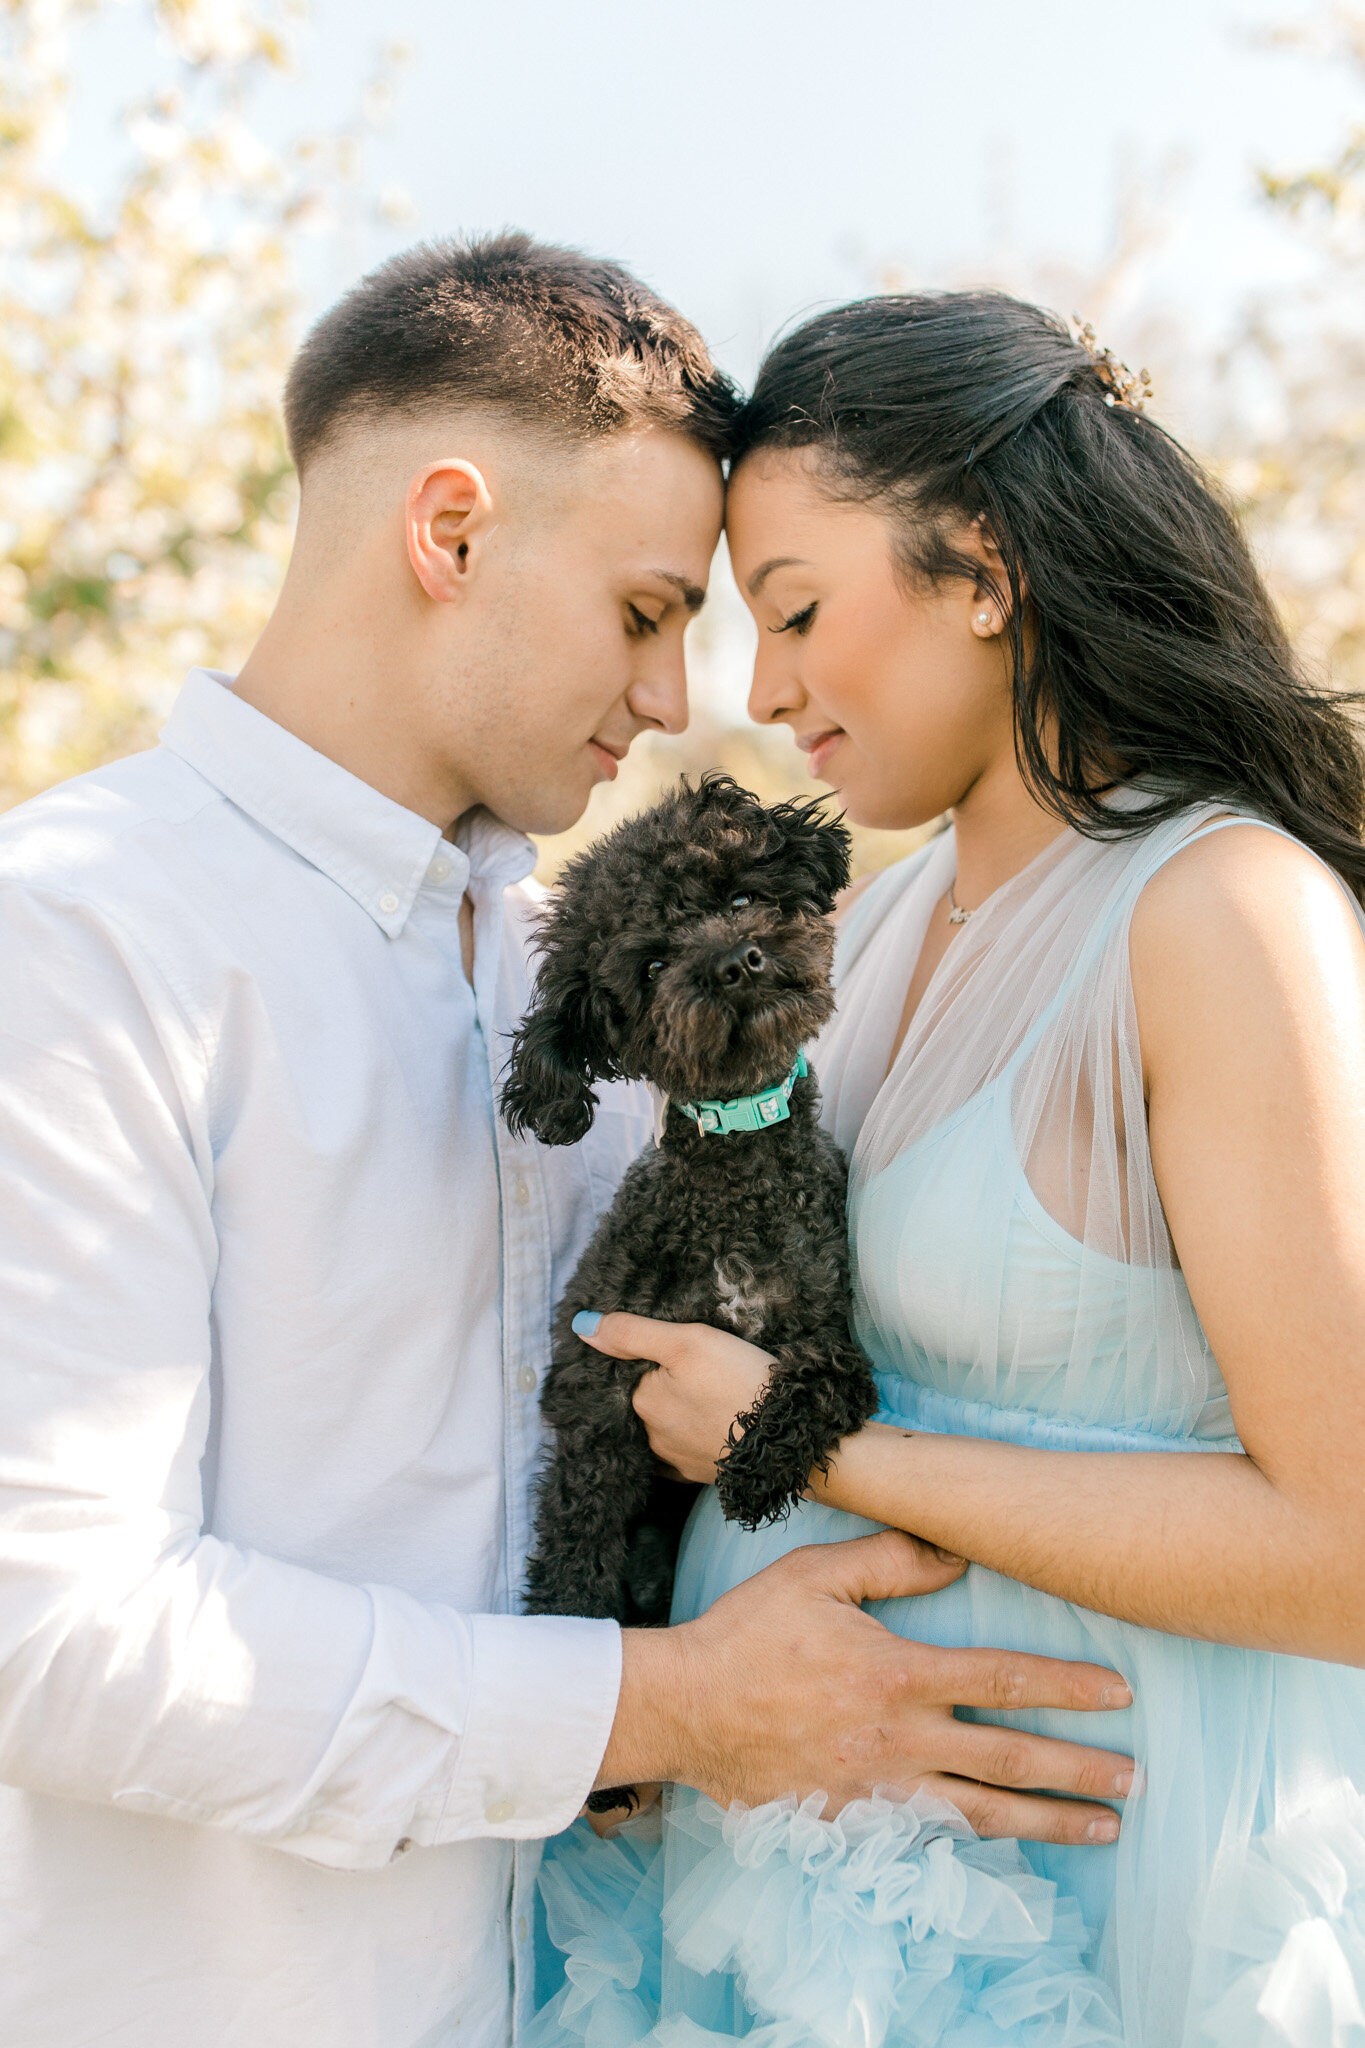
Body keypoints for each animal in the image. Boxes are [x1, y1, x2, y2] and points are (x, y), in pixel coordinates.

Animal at [499, 770, 875, 1810]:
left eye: (739, 896)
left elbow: (823, 1380)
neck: (736, 1165)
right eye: (655, 960)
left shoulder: (829, 1323)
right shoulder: (596, 1391)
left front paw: (753, 1471)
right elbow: (575, 1545)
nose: (739, 963)